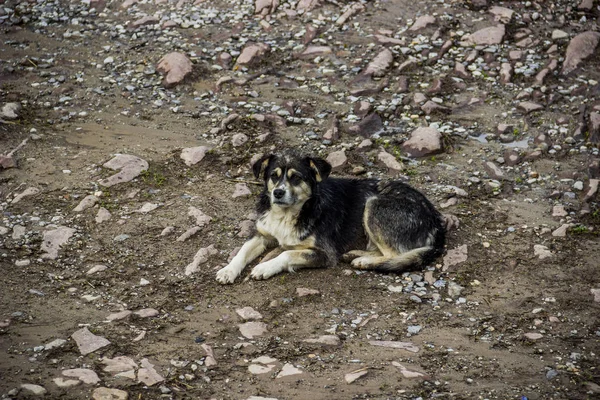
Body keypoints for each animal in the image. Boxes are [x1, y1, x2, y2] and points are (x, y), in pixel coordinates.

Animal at [216, 150, 446, 284]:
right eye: (273, 176)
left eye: (296, 178)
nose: (278, 193)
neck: (290, 213)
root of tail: (436, 219)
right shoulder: (262, 234)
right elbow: (242, 252)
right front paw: (228, 270)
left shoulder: (325, 253)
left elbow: (286, 254)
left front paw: (265, 267)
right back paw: (356, 254)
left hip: (374, 205)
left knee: (395, 254)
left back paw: (364, 261)